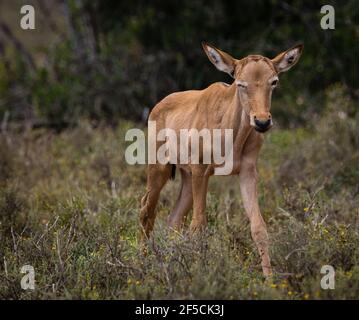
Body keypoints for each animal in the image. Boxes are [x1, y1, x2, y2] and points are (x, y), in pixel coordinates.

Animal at [141, 42, 304, 278]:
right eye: (240, 83)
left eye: (274, 81)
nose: (262, 122)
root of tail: (157, 107)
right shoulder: (201, 171)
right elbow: (198, 225)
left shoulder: (247, 172)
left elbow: (258, 227)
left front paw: (270, 280)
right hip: (160, 169)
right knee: (147, 211)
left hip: (187, 178)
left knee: (174, 220)